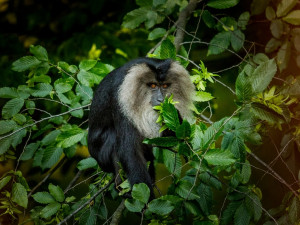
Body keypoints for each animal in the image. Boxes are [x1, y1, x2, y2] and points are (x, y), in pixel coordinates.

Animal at [87, 57, 195, 198]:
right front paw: (148, 199)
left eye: (165, 86)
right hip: (101, 156)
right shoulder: (121, 100)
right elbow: (129, 149)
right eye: (153, 85)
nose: (161, 99)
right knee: (113, 139)